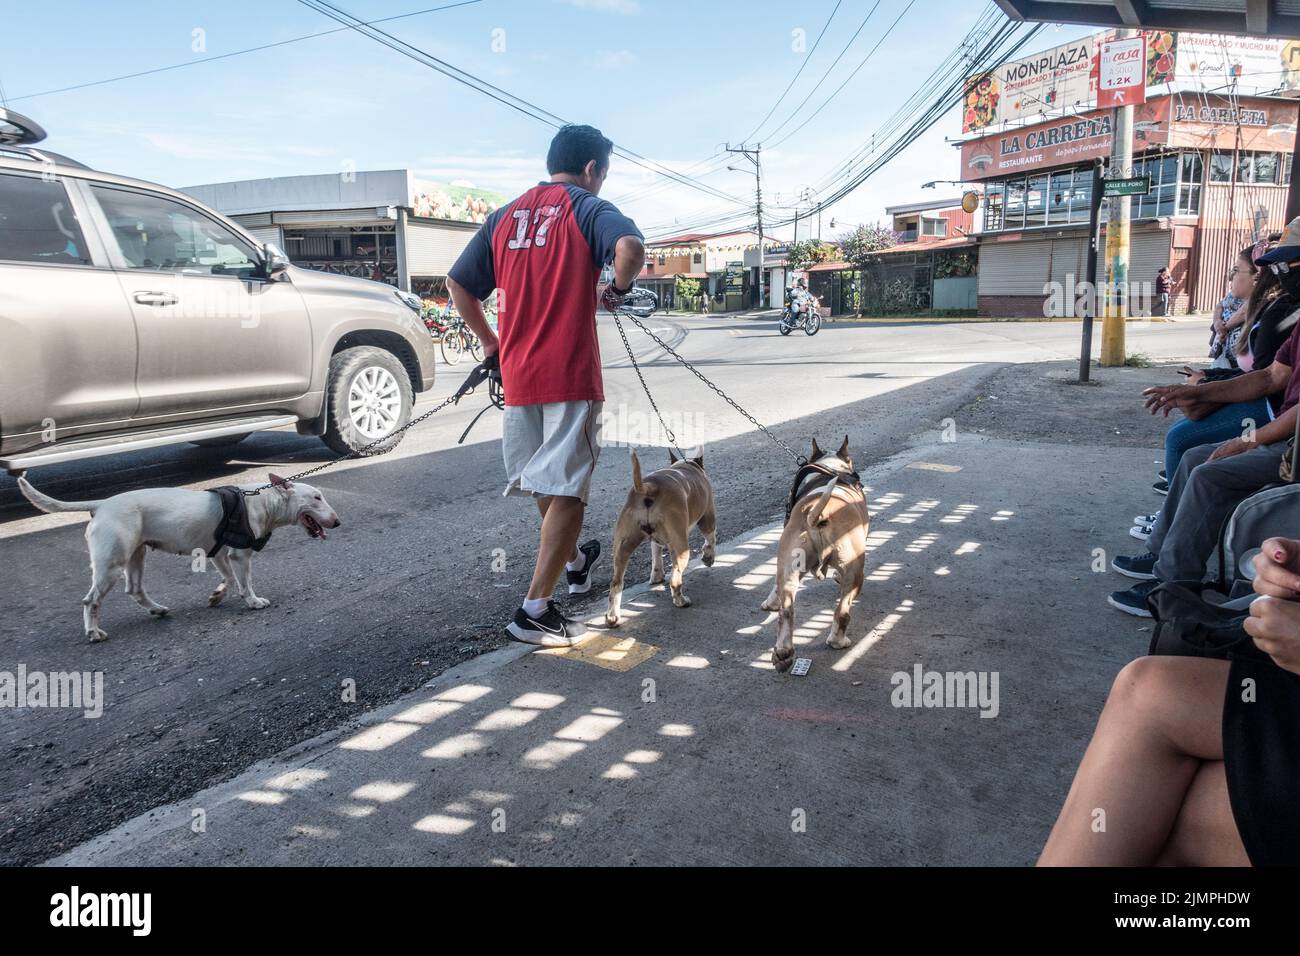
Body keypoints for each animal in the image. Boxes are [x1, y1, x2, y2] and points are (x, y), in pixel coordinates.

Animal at [16, 473, 340, 642]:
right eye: (316, 497)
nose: (337, 522)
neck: (265, 500)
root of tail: (102, 505)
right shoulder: (240, 555)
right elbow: (245, 582)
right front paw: (253, 602)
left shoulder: (219, 553)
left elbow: (228, 579)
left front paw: (217, 595)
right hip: (112, 562)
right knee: (90, 599)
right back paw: (93, 631)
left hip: (136, 554)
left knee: (134, 589)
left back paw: (157, 609)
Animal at [608, 450, 722, 629]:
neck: (687, 466)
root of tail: (648, 487)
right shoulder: (708, 516)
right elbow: (711, 539)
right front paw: (708, 558)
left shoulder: (656, 541)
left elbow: (656, 553)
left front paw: (656, 576)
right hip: (682, 548)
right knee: (675, 579)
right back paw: (681, 601)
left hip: (622, 546)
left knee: (616, 583)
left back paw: (612, 617)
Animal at [759, 434, 873, 671]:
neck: (831, 468)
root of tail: (819, 515)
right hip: (855, 574)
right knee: (843, 610)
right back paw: (838, 641)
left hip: (789, 563)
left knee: (787, 609)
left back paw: (783, 653)